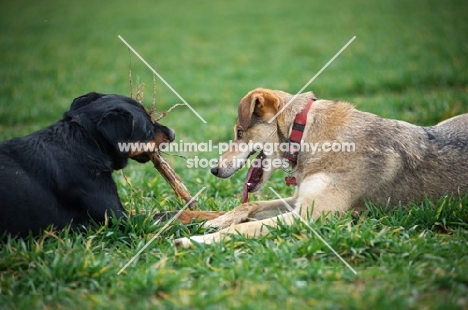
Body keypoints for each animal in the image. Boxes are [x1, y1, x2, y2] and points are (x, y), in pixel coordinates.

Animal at [176, 88, 468, 247]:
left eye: (239, 133)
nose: (214, 170)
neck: (305, 134)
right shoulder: (299, 200)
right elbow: (248, 206)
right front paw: (216, 222)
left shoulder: (311, 216)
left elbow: (244, 228)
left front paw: (193, 242)